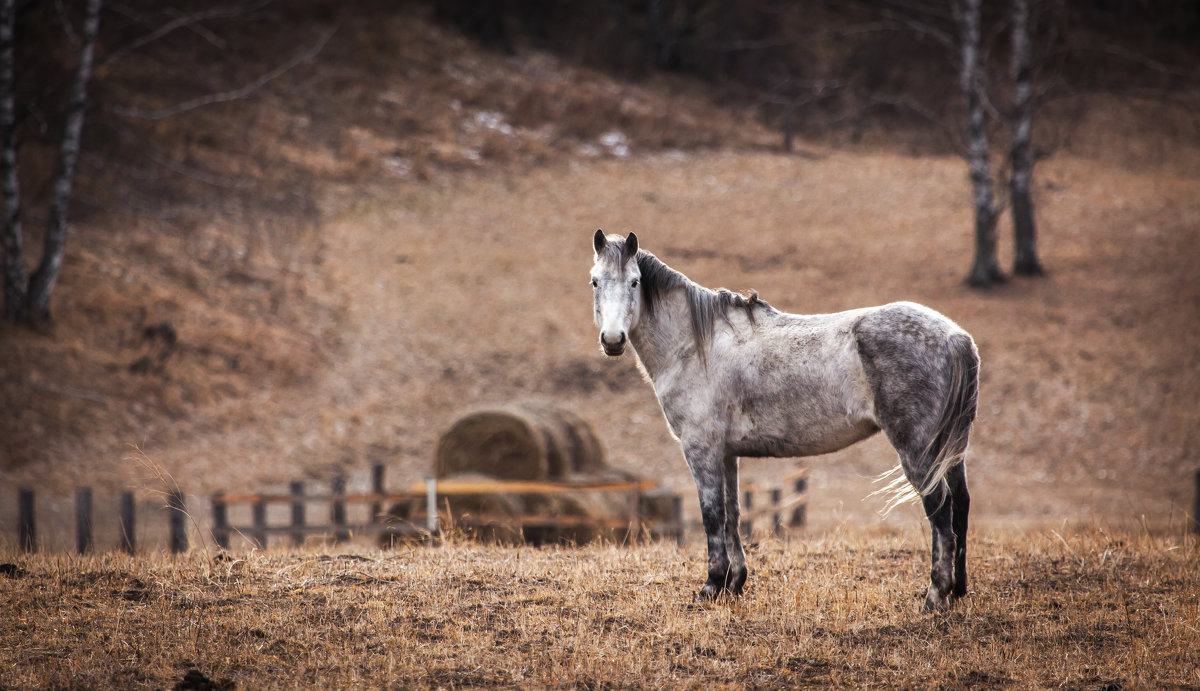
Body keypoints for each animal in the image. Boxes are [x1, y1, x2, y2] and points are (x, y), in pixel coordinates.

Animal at [585, 230, 979, 609]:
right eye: (595, 281)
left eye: (634, 281)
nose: (612, 340)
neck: (697, 346)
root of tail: (954, 336)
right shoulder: (727, 453)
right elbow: (733, 513)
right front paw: (734, 583)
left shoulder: (701, 449)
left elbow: (711, 514)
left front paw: (712, 586)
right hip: (950, 448)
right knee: (960, 503)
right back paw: (958, 590)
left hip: (918, 448)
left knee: (940, 508)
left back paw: (935, 595)